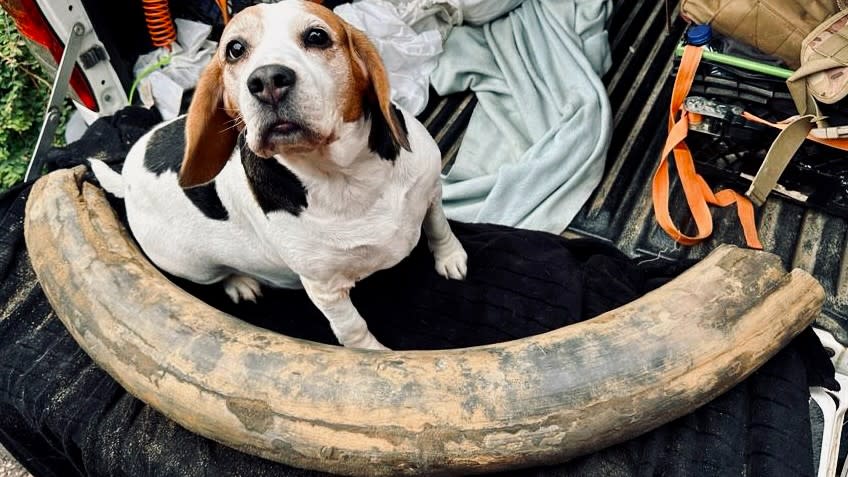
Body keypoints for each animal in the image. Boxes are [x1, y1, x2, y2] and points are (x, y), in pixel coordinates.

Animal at [91, 0, 470, 350]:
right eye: (235, 49)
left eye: (317, 36)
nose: (267, 80)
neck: (348, 176)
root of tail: (125, 176)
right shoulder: (324, 288)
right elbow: (352, 327)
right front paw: (373, 355)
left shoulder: (430, 193)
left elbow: (439, 227)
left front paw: (450, 257)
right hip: (189, 264)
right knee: (217, 274)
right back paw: (239, 282)